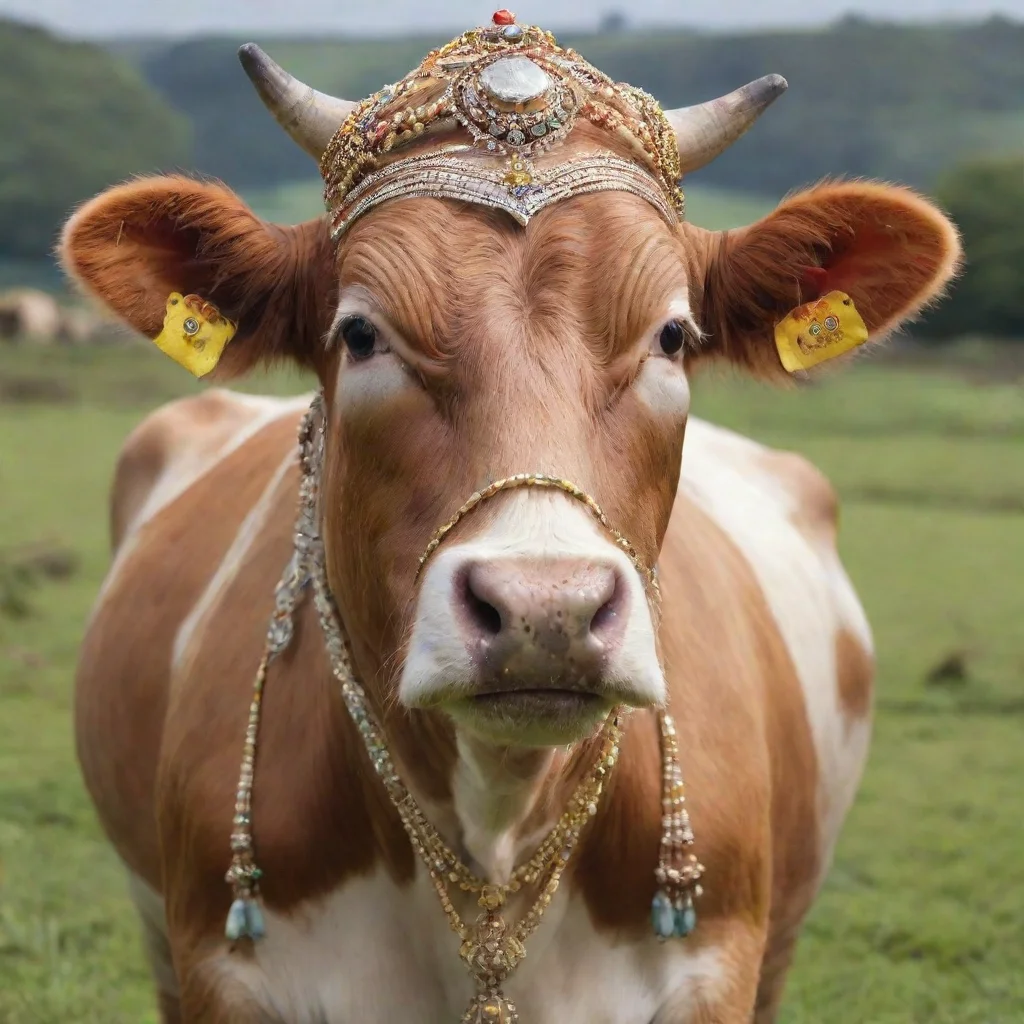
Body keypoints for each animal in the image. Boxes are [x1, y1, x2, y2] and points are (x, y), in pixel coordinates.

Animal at [60, 20, 960, 1024]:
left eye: (673, 336)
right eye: (362, 334)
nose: (546, 610)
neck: (496, 815)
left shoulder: (719, 970)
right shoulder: (220, 972)